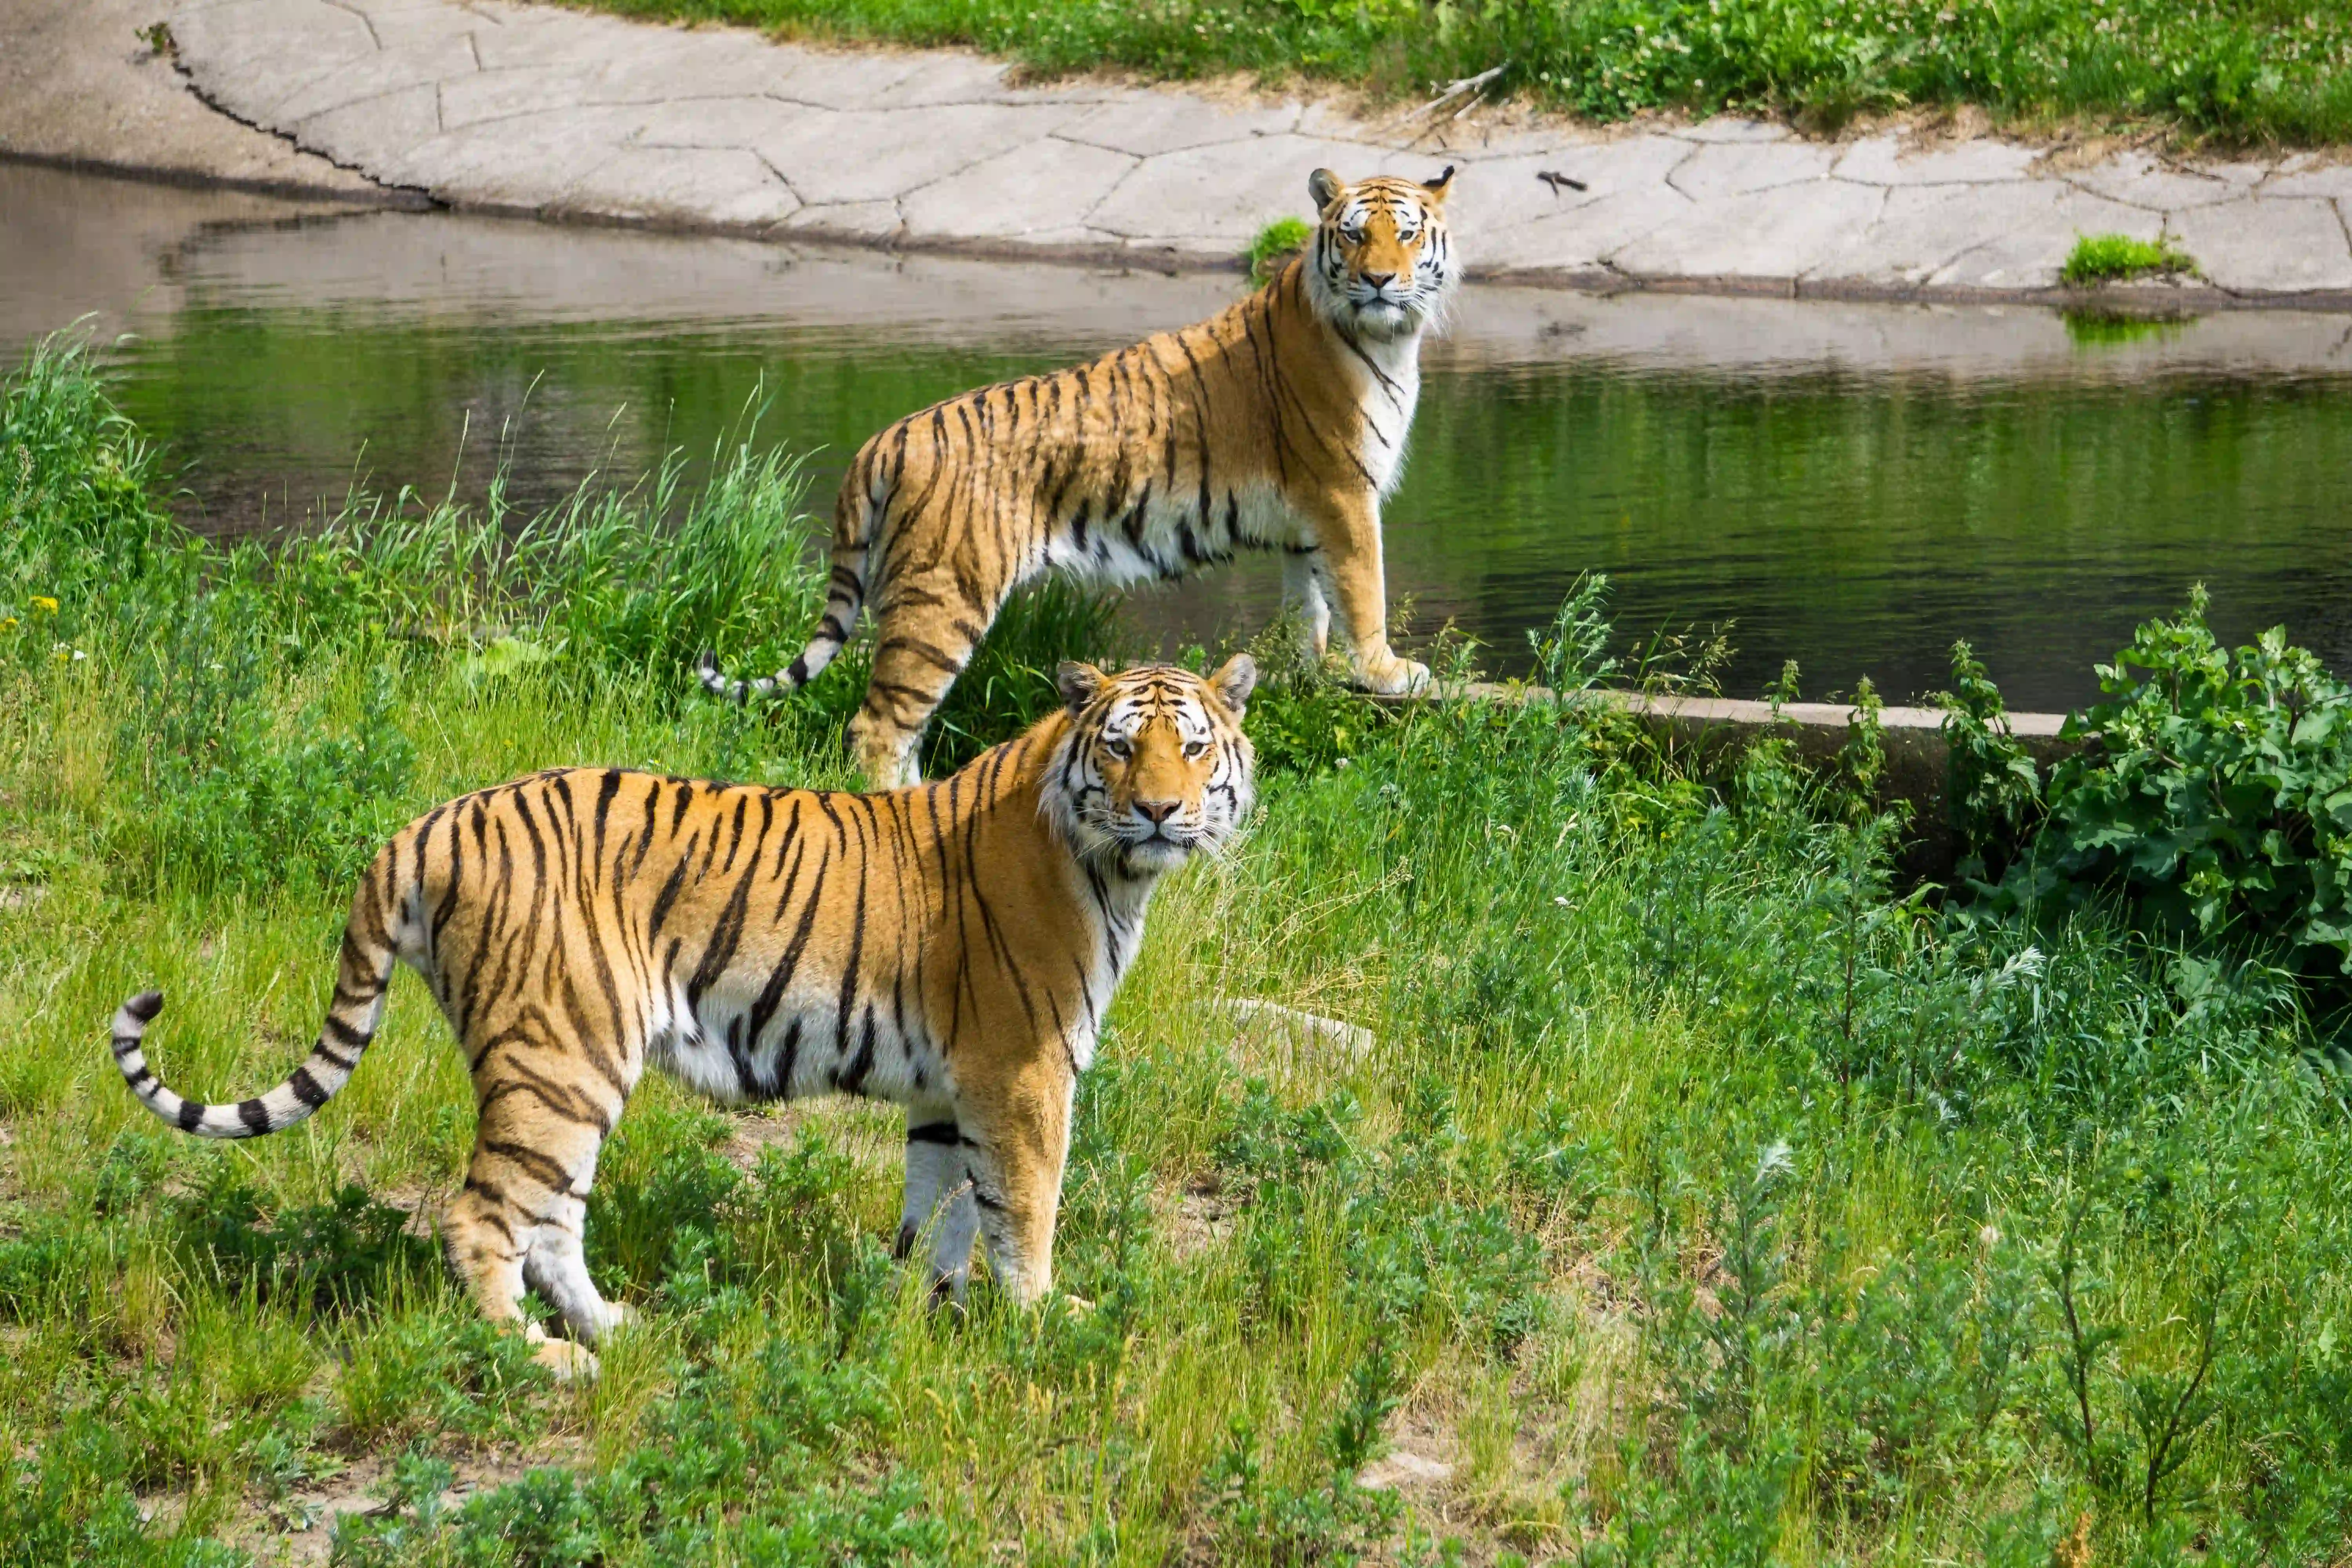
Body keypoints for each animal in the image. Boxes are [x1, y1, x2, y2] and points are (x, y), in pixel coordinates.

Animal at [108, 658, 1261, 1382]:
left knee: (550, 1219)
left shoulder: (950, 1087)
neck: (1110, 871)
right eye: (1123, 750)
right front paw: (1044, 1323)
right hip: (561, 1053)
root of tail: (426, 824)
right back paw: (542, 1360)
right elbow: (1025, 1207)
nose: (1162, 811)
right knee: (481, 1217)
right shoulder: (1023, 1072)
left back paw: (618, 1330)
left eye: (1196, 749)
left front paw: (935, 1318)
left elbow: (941, 1213)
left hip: (567, 1066)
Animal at [696, 162, 1458, 785]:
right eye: (1355, 236)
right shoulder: (1344, 494)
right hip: (941, 595)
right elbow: (1364, 589)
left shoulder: (1308, 520)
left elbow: (1312, 605)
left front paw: (1311, 675)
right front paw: (1389, 672)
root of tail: (888, 437)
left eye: (1407, 233)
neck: (1389, 339)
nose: (1380, 280)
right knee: (879, 726)